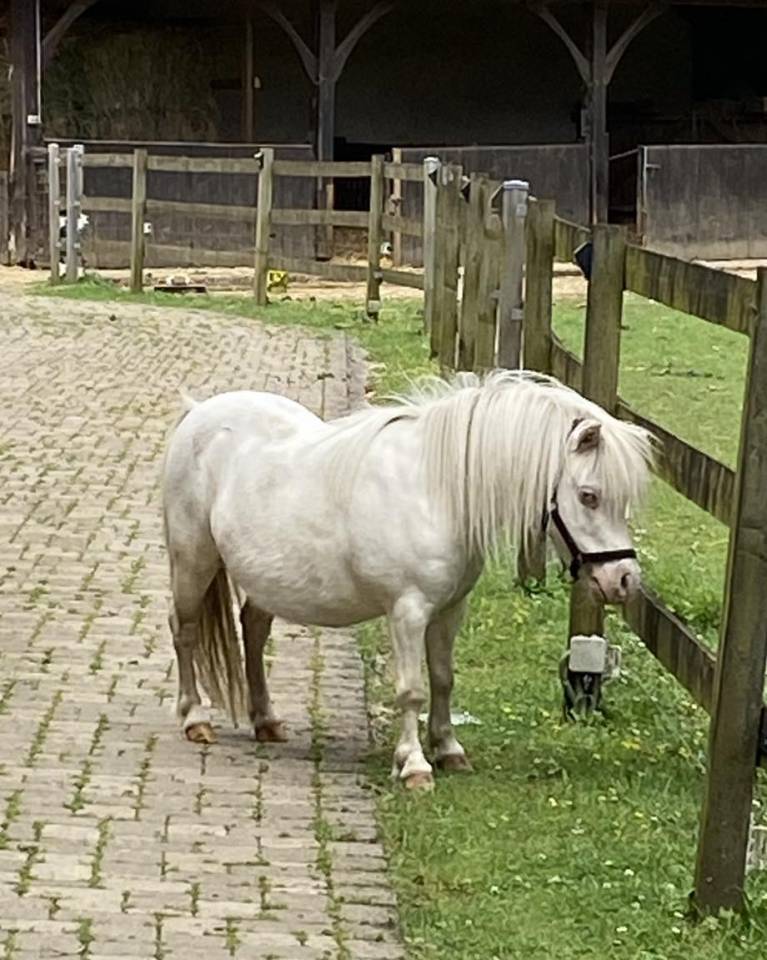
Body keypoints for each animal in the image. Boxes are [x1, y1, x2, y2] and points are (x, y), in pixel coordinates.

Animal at [162, 371, 654, 790]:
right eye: (588, 496)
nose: (624, 580)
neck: (436, 490)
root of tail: (198, 413)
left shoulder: (450, 609)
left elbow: (442, 679)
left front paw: (449, 749)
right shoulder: (408, 611)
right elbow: (411, 689)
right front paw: (415, 764)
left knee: (253, 630)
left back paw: (265, 720)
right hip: (193, 562)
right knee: (184, 630)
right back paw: (195, 718)